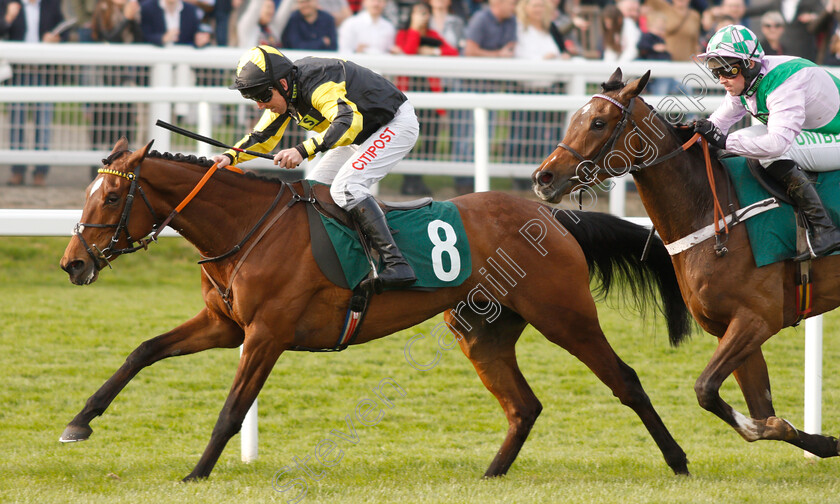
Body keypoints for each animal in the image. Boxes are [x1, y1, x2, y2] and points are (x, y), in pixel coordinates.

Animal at [57, 137, 688, 480]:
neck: (248, 228)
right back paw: (491, 475)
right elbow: (142, 352)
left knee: (625, 380)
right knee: (523, 406)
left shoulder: (266, 334)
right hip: (480, 330)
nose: (73, 264)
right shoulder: (225, 325)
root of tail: (552, 216)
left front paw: (195, 473)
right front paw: (79, 422)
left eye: (111, 196)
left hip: (565, 316)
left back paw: (679, 461)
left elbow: (232, 409)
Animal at [532, 69, 840, 458]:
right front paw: (823, 442)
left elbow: (706, 389)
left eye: (599, 123)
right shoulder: (730, 326)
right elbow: (761, 413)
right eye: (575, 118)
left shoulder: (758, 318)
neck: (713, 210)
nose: (543, 178)